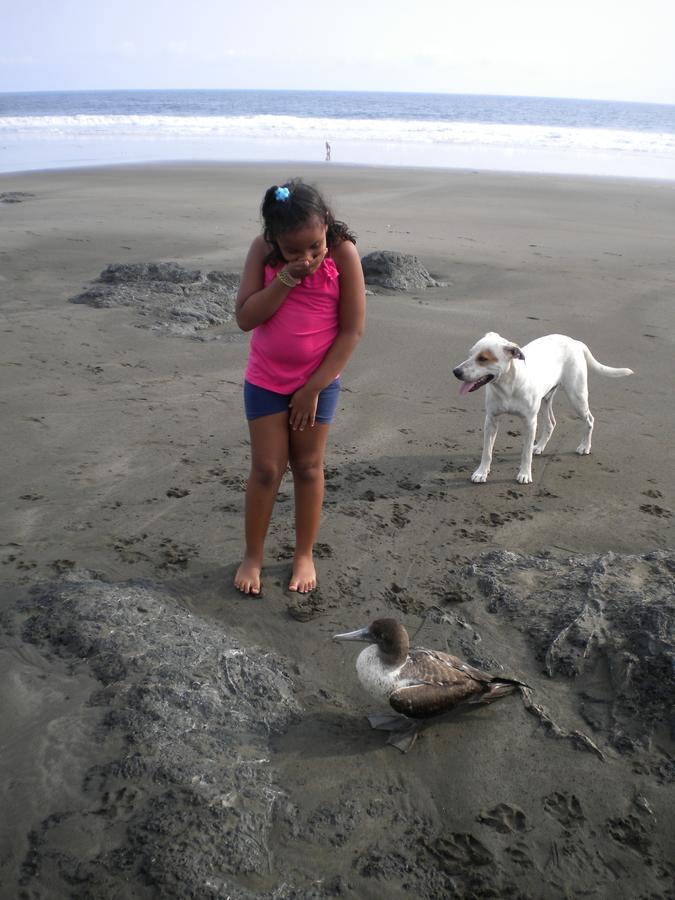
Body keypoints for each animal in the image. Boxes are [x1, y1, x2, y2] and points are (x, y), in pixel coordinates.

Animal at [454, 332, 632, 486]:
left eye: (483, 359)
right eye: (470, 354)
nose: (456, 371)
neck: (507, 385)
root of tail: (575, 342)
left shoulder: (530, 422)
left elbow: (525, 453)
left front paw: (524, 474)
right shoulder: (491, 420)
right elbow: (487, 451)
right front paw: (481, 472)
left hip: (577, 397)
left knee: (589, 420)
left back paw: (584, 447)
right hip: (546, 399)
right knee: (551, 422)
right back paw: (539, 447)